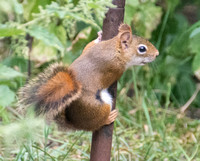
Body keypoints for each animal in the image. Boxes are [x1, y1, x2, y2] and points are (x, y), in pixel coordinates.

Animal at [18, 23, 159, 131]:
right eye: (142, 49)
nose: (157, 54)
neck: (114, 49)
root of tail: (77, 124)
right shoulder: (115, 69)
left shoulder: (92, 49)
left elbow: (88, 46)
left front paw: (99, 36)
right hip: (98, 107)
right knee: (95, 125)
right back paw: (108, 118)